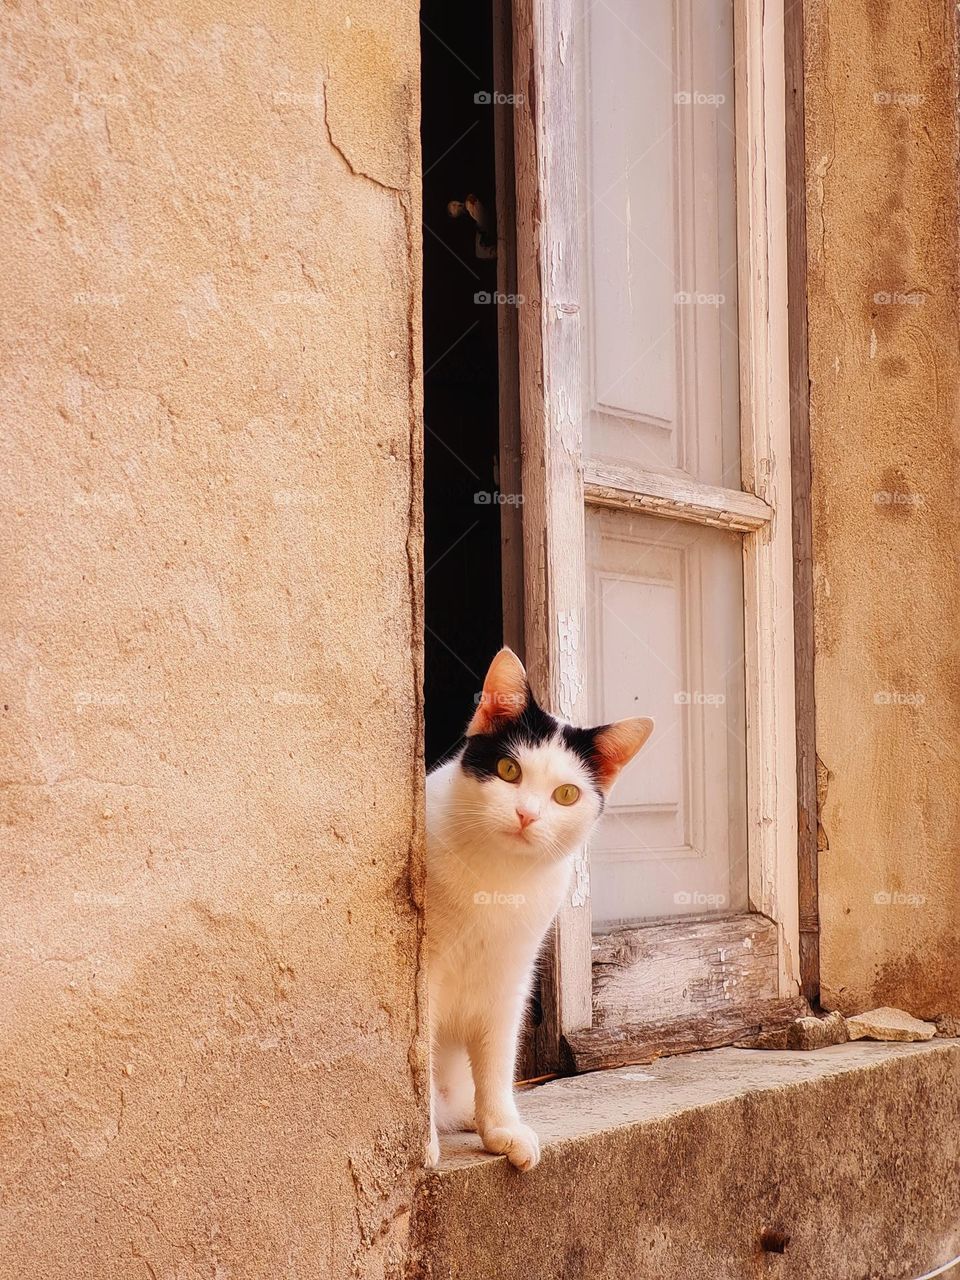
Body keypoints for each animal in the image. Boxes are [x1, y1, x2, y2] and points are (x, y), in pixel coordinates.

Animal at [427, 650, 655, 1172]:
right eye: (509, 770)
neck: (496, 878)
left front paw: (501, 1127)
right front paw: (420, 1141)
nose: (527, 814)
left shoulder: (510, 977)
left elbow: (497, 1056)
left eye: (566, 795)